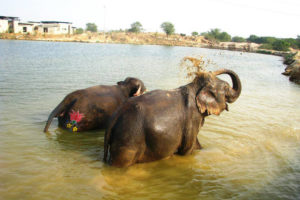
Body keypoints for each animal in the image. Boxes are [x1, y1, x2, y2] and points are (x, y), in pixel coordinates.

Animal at [103, 69, 241, 167]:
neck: (194, 87)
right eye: (226, 87)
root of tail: (114, 118)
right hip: (129, 140)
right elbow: (187, 150)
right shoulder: (192, 119)